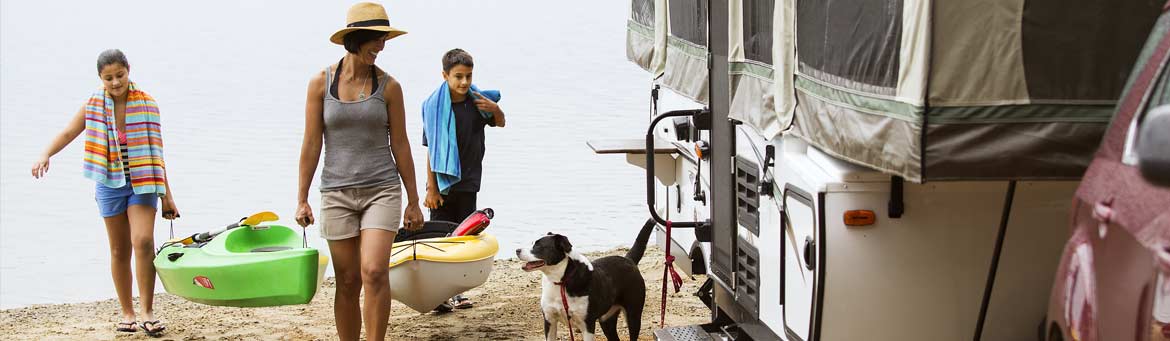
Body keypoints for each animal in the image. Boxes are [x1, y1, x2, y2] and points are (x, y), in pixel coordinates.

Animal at [514, 220, 655, 339]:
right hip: (607, 320)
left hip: (633, 315)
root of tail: (628, 259)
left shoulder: (587, 325)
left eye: (538, 246)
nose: (517, 250)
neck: (561, 281)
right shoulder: (549, 320)